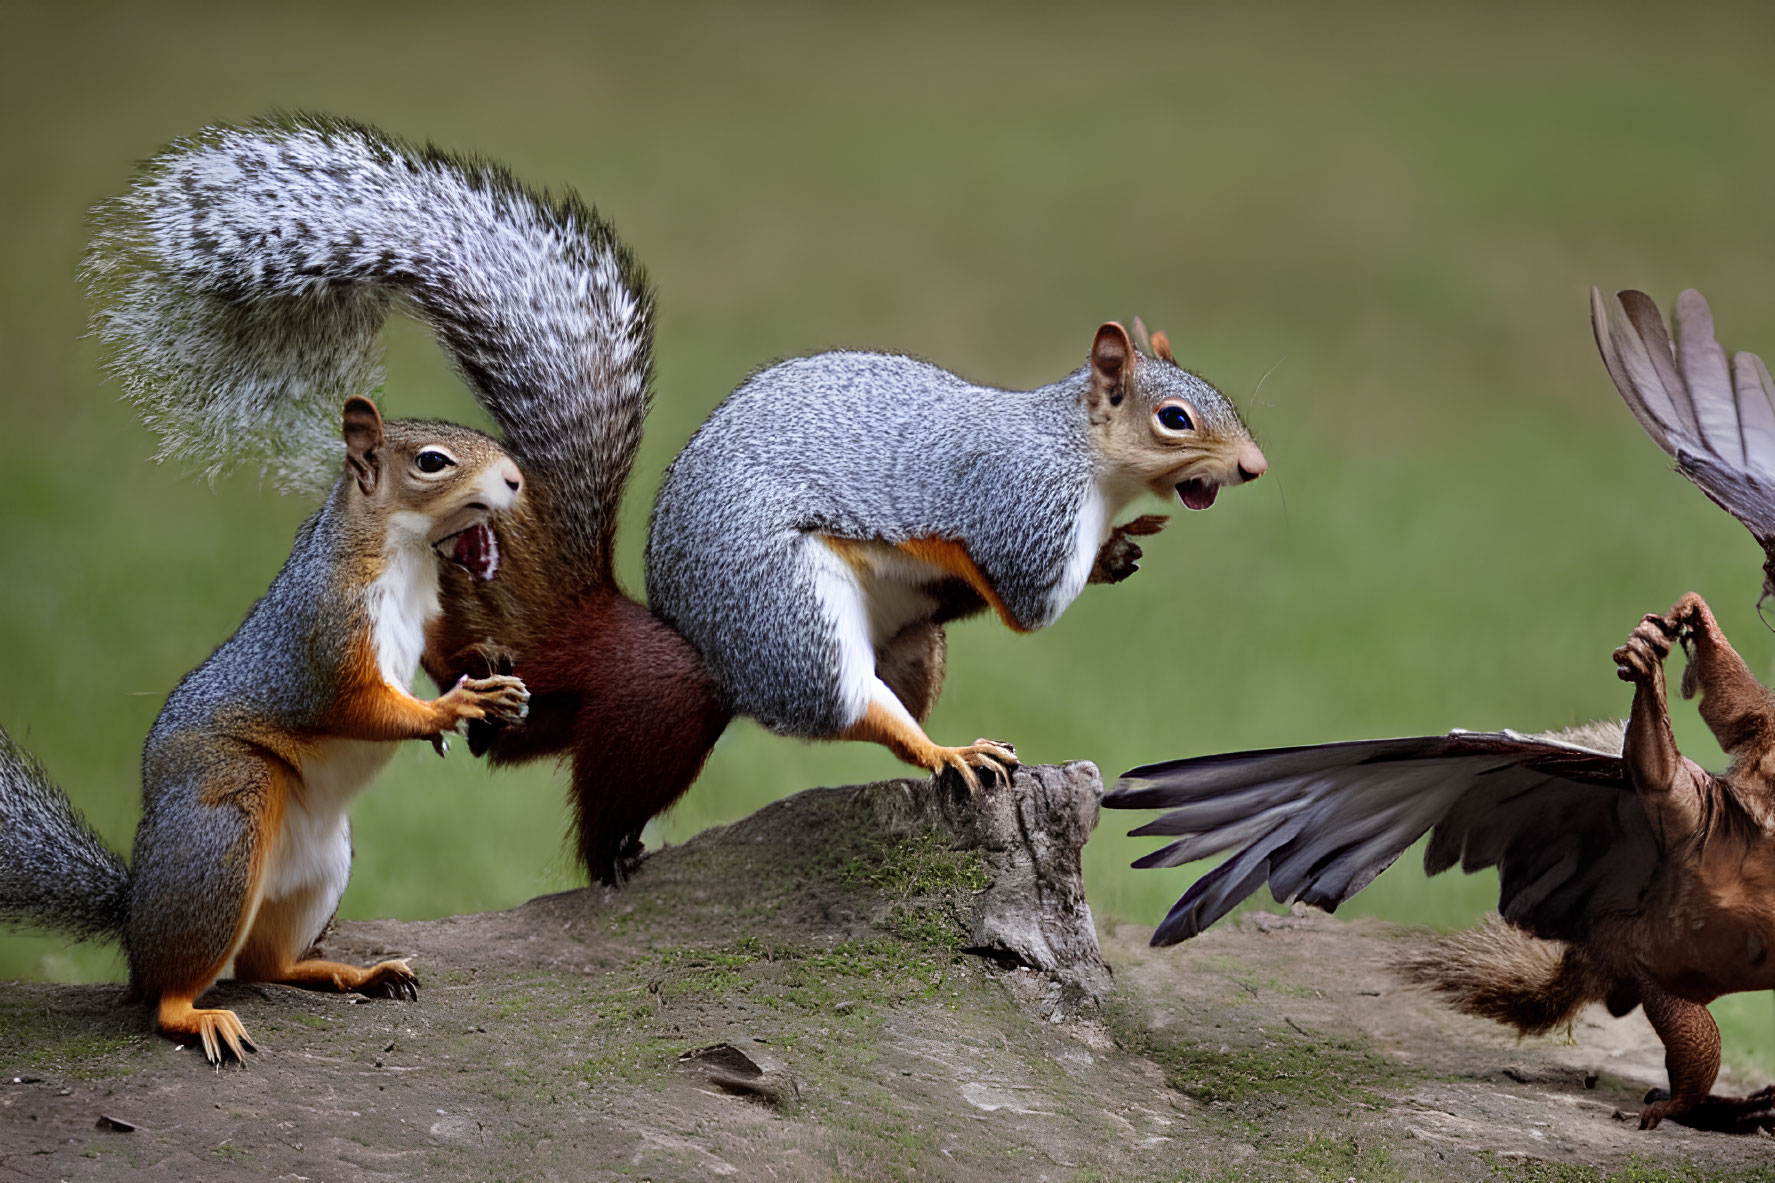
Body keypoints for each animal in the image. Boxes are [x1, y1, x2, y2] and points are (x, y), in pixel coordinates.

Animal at [0, 394, 528, 1058]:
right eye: (432, 461)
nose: (516, 480)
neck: (402, 555)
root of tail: (135, 917)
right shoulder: (324, 636)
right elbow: (361, 706)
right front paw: (452, 708)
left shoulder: (424, 616)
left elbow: (437, 650)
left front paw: (486, 657)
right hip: (226, 828)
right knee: (169, 993)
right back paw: (198, 1016)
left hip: (323, 869)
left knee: (265, 966)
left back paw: (358, 974)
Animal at [90, 112, 1270, 884]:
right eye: (1175, 417)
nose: (1255, 469)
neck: (1069, 443)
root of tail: (665, 642)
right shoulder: (1017, 507)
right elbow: (1029, 595)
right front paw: (1114, 543)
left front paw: (1122, 551)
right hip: (783, 618)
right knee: (837, 710)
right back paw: (923, 757)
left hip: (911, 643)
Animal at [1107, 287, 1775, 1136]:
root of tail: (1589, 957)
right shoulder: (1689, 807)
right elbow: (1676, 747)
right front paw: (1661, 647)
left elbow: (1737, 709)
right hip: (1663, 978)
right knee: (1689, 1064)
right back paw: (1707, 1107)